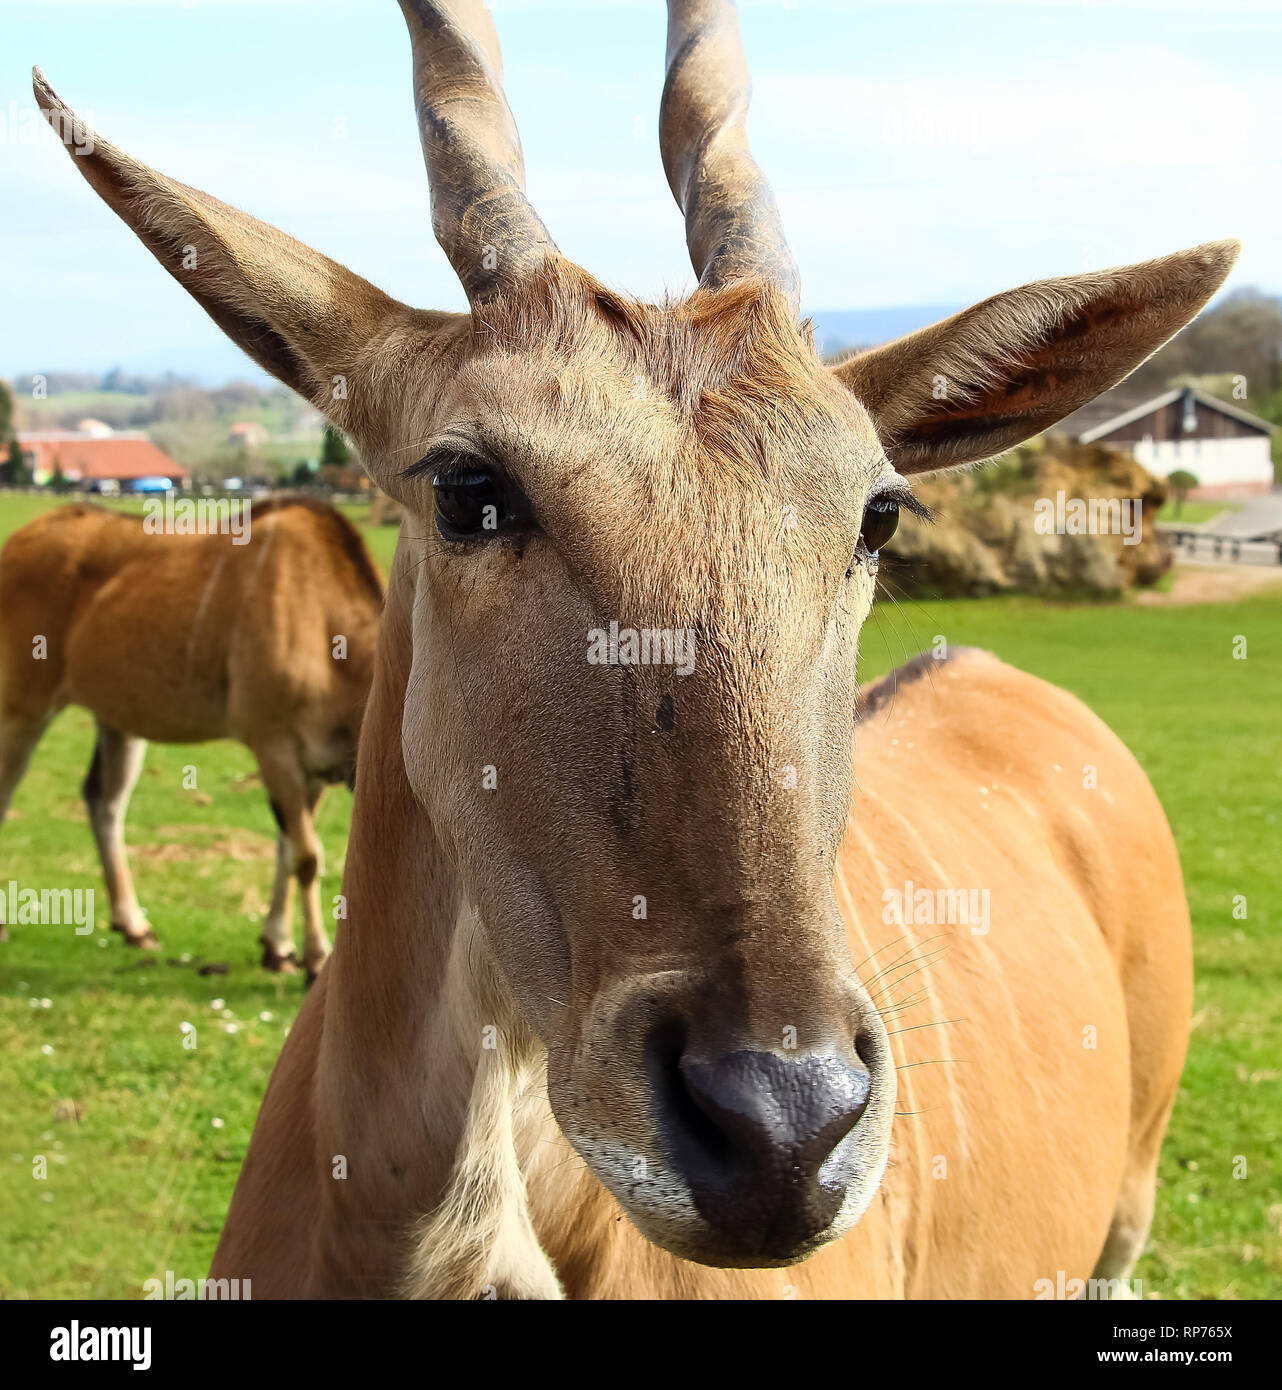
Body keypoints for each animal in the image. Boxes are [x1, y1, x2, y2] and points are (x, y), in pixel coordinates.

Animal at [0, 498, 381, 979]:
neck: (323, 619)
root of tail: (18, 541)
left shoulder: (313, 768)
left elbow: (286, 850)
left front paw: (277, 947)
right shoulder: (274, 746)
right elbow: (307, 857)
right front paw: (314, 957)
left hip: (117, 720)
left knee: (104, 801)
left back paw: (134, 925)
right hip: (23, 707)